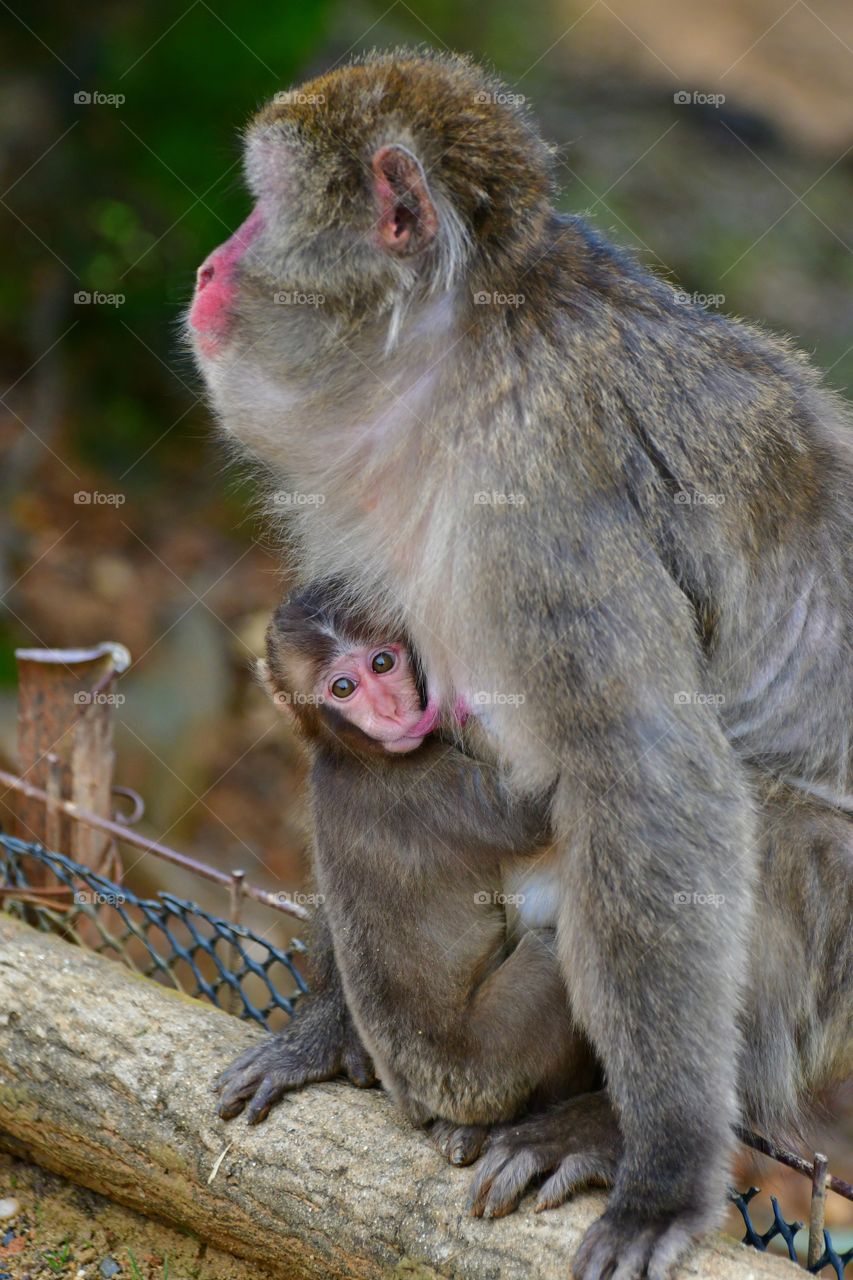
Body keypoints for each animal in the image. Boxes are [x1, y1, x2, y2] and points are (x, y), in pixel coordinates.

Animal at [215, 581, 610, 1174]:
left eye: (383, 662)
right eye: (343, 687)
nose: (391, 709)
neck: (349, 754)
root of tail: (416, 1102)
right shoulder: (432, 787)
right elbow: (538, 809)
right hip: (485, 1066)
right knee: (552, 957)